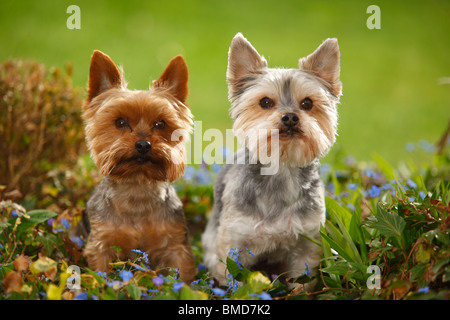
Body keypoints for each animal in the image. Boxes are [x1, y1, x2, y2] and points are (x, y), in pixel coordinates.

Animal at [200, 33, 342, 286]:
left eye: (307, 103)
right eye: (265, 102)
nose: (290, 117)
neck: (282, 170)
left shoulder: (307, 246)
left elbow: (301, 283)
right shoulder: (234, 245)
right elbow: (234, 283)